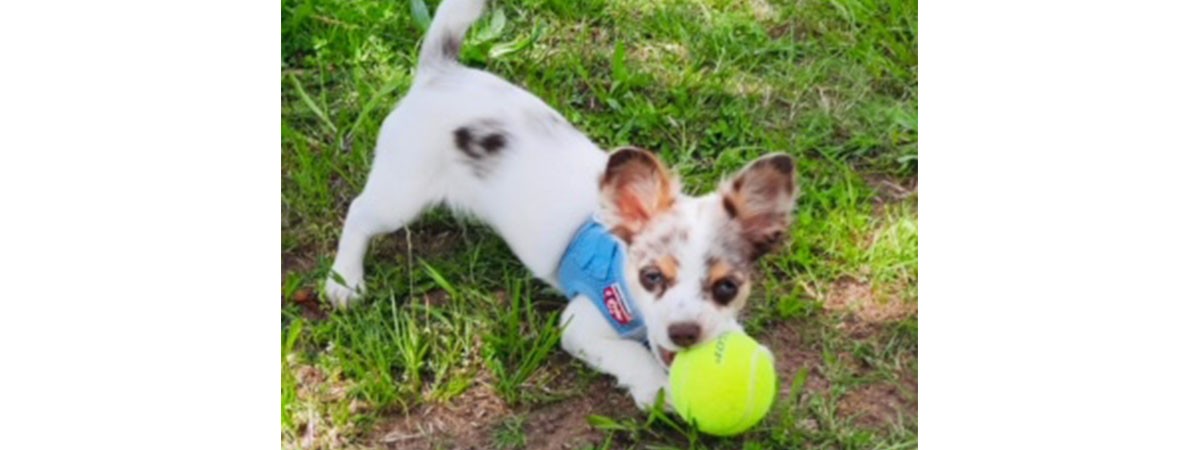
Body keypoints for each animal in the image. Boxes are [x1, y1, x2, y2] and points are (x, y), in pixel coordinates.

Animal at [324, 0, 801, 408]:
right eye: (651, 278)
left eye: (727, 287)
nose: (684, 332)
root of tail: (439, 72)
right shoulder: (580, 324)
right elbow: (631, 356)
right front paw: (659, 390)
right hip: (400, 194)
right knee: (359, 213)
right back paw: (344, 281)